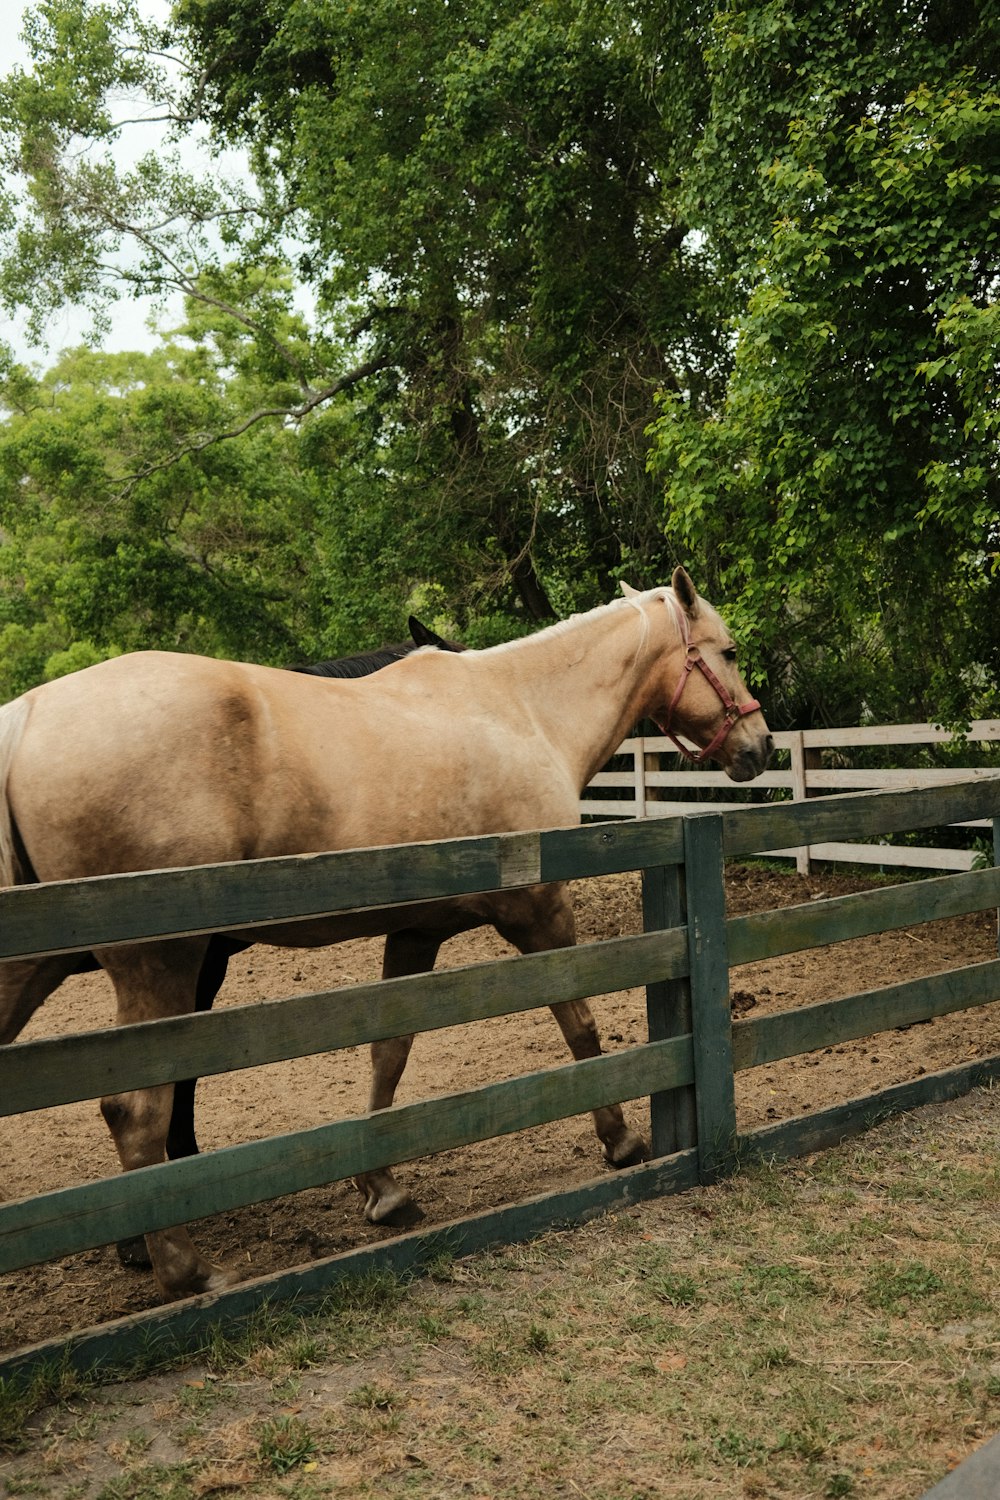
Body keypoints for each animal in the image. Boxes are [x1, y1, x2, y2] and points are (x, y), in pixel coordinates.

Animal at [0, 567, 773, 1296]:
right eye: (729, 651)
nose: (760, 746)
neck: (521, 709)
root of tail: (28, 715)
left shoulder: (416, 933)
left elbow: (388, 1054)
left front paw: (383, 1189)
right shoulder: (539, 911)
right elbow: (579, 1026)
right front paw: (621, 1141)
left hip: (37, 972)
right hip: (159, 965)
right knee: (135, 1109)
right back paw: (187, 1269)